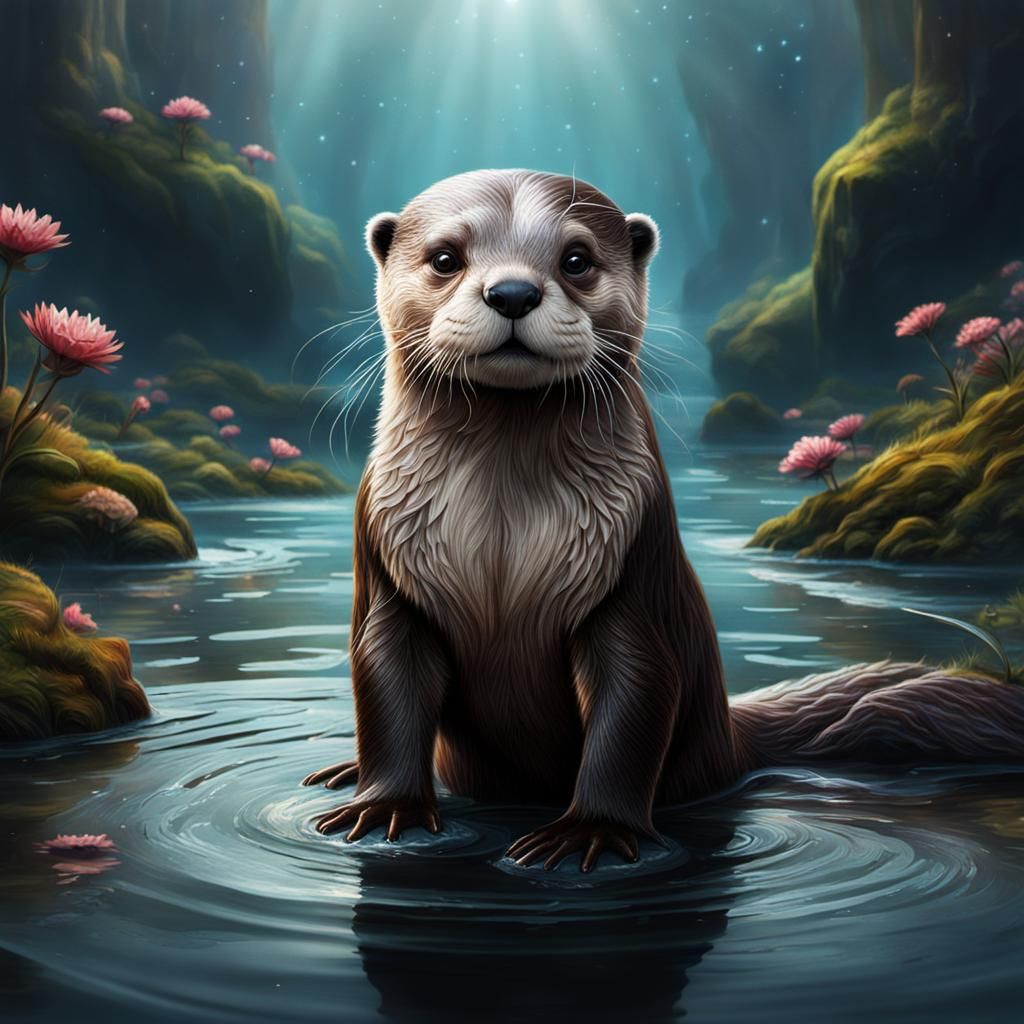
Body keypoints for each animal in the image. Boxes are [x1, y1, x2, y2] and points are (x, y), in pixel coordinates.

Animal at [303, 169, 1024, 871]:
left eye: (576, 259)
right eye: (446, 257)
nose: (512, 292)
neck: (501, 536)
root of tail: (732, 739)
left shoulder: (632, 569)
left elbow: (634, 701)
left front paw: (590, 830)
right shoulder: (390, 570)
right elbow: (385, 685)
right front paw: (384, 808)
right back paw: (343, 771)